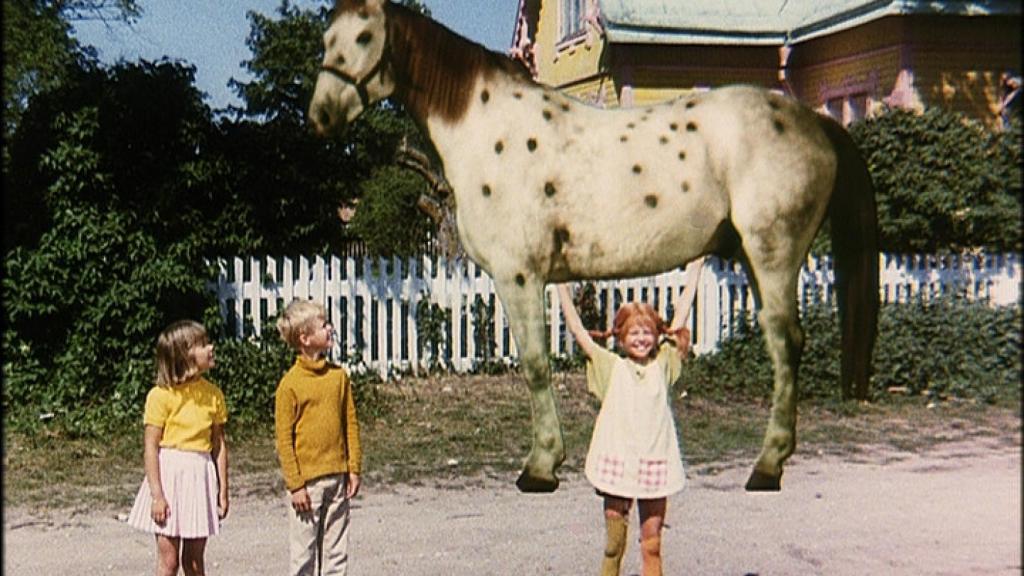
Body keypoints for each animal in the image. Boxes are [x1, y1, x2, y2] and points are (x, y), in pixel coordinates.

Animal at [309, 1, 880, 494]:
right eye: (326, 38)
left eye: (364, 37)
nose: (322, 115)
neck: (485, 129)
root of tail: (816, 122)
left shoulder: (519, 275)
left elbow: (535, 365)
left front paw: (540, 467)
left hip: (774, 256)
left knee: (787, 345)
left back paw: (767, 466)